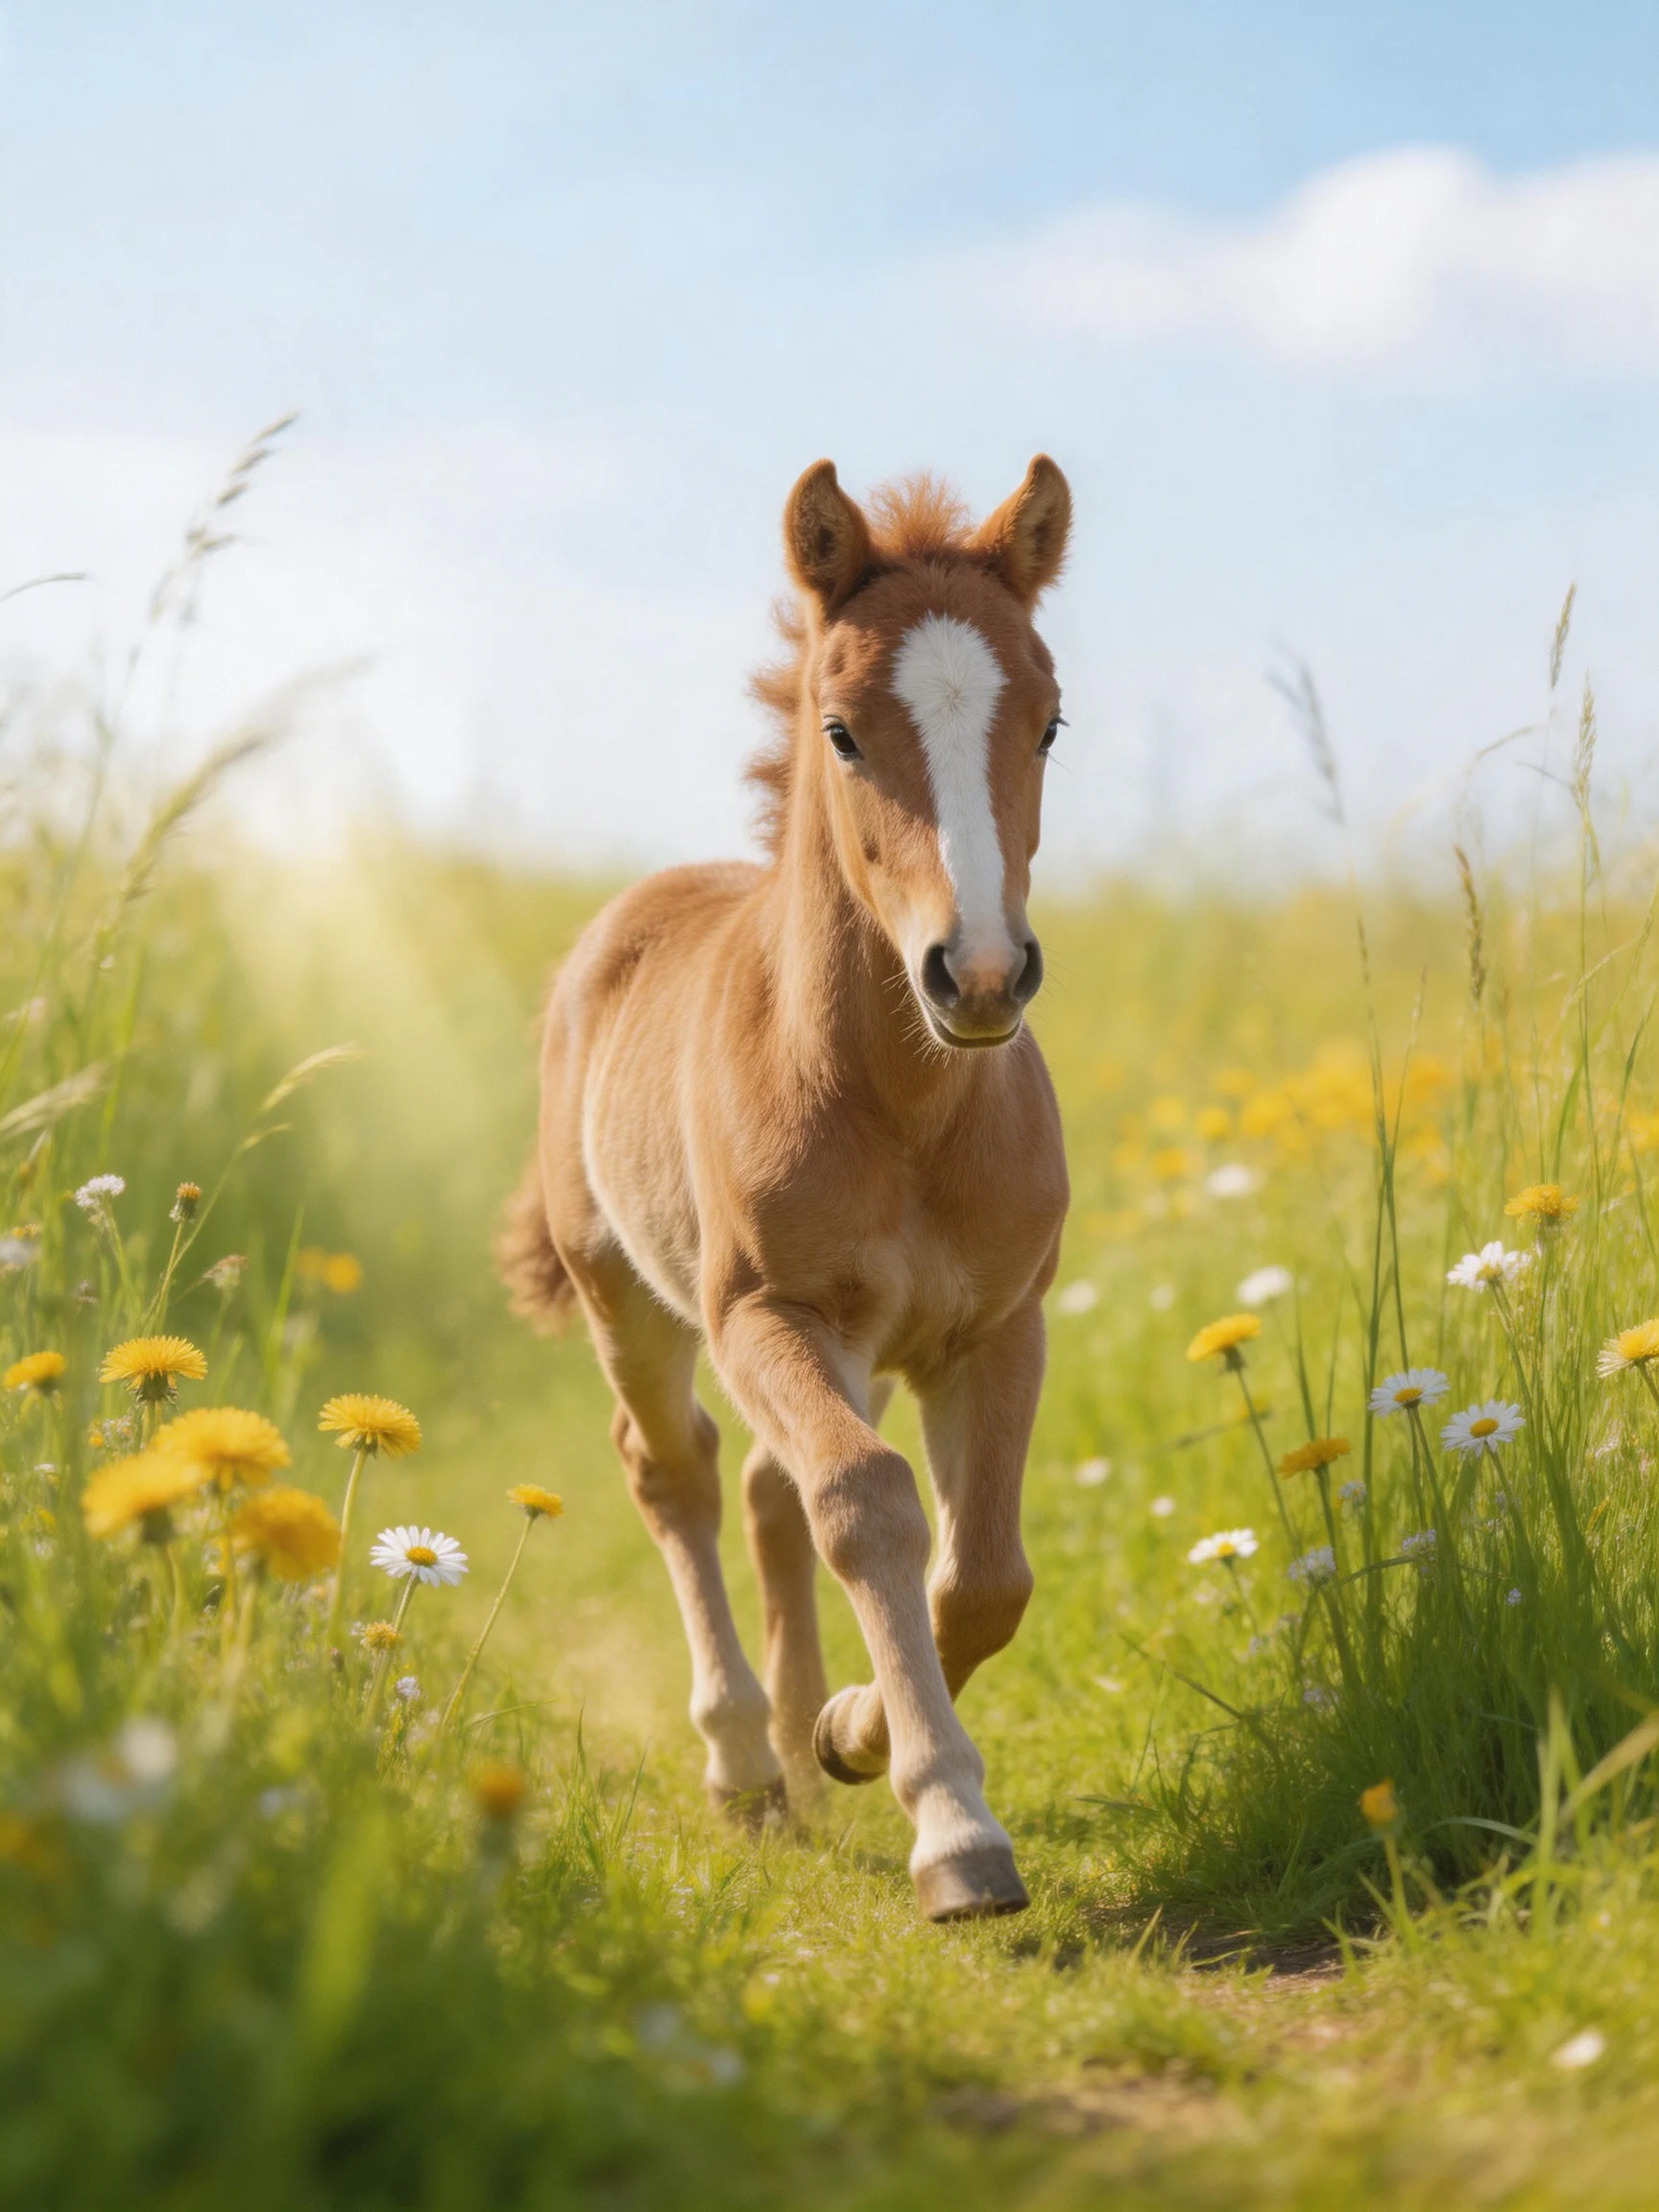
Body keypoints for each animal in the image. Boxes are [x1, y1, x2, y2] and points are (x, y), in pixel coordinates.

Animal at [498, 455, 1072, 1920]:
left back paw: (808, 1756)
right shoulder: (766, 1312)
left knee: (763, 1488)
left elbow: (983, 1574)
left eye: (1049, 723)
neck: (906, 1107)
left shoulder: (995, 1325)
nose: (980, 975)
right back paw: (749, 1763)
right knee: (678, 1472)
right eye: (843, 731)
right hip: (632, 1300)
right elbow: (865, 1503)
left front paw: (859, 1730)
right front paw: (951, 1827)